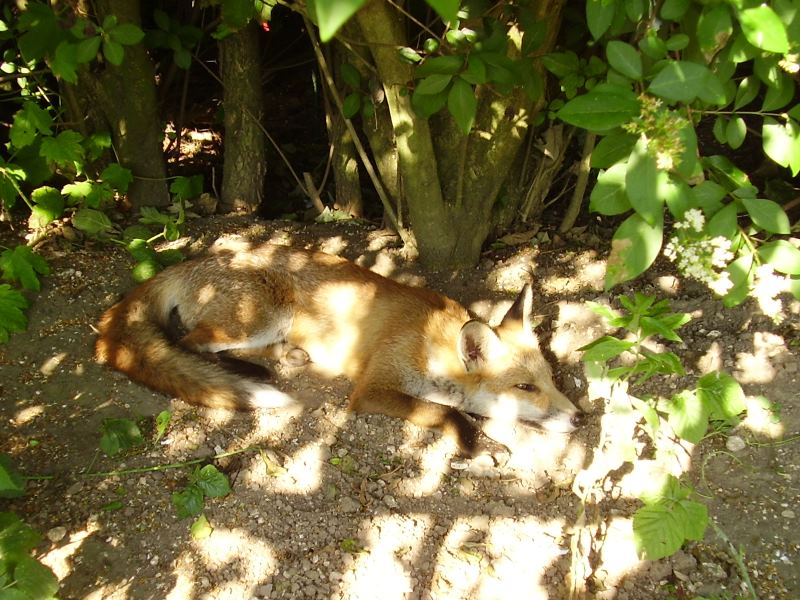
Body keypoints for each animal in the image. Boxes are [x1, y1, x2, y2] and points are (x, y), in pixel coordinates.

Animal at [94, 241, 584, 458]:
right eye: (525, 387)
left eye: (550, 379)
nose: (581, 418)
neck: (433, 344)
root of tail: (198, 259)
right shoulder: (372, 389)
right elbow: (446, 413)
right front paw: (473, 445)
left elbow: (468, 412)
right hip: (254, 320)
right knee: (187, 343)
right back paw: (248, 372)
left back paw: (283, 358)